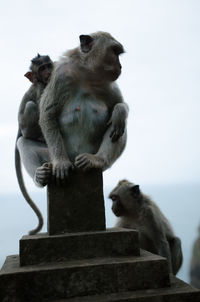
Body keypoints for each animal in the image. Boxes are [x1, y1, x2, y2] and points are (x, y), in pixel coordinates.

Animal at [38, 31, 129, 182]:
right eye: (114, 51)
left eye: (118, 52)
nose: (120, 66)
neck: (87, 73)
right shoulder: (62, 75)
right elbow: (48, 115)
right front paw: (60, 162)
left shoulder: (108, 84)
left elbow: (120, 103)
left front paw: (120, 110)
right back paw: (42, 173)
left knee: (119, 125)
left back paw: (97, 160)